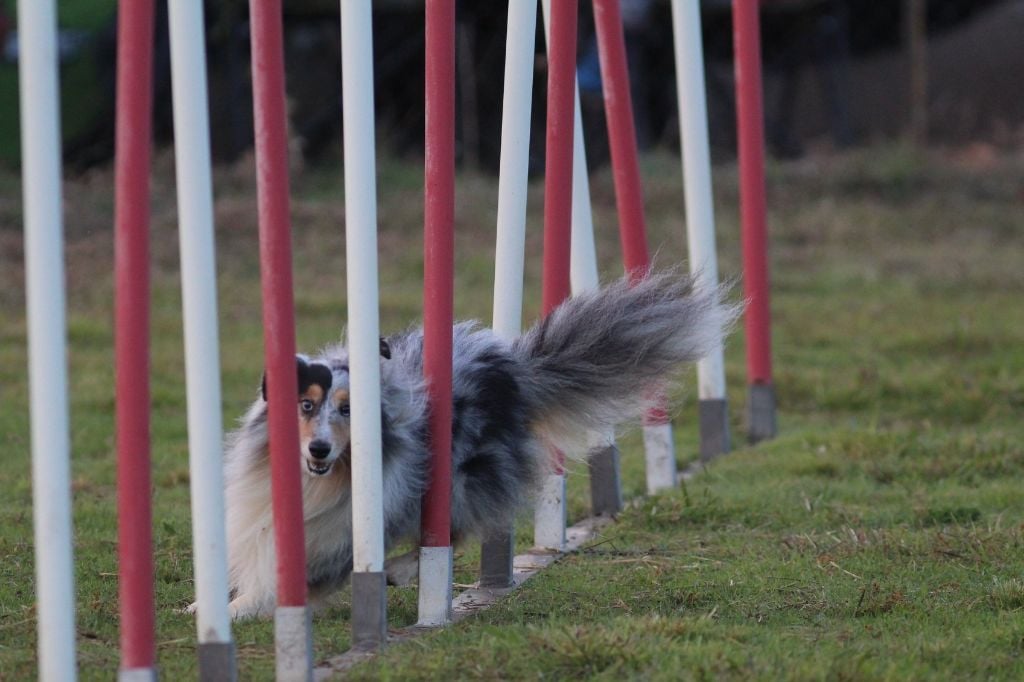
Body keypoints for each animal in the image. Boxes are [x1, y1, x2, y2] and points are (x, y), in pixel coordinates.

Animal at [220, 270, 737, 614]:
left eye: (348, 411)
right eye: (306, 406)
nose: (319, 450)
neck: (324, 482)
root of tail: (516, 373)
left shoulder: (349, 528)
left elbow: (301, 574)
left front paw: (239, 609)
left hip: (465, 476)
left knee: (458, 528)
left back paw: (400, 570)